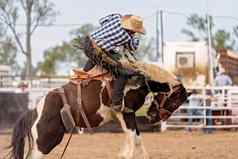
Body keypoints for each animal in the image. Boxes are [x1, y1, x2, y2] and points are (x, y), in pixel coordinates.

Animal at [6, 61, 191, 158]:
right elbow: (132, 137)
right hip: (43, 142)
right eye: (174, 102)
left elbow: (137, 138)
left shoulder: (128, 114)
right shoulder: (124, 112)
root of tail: (35, 110)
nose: (153, 117)